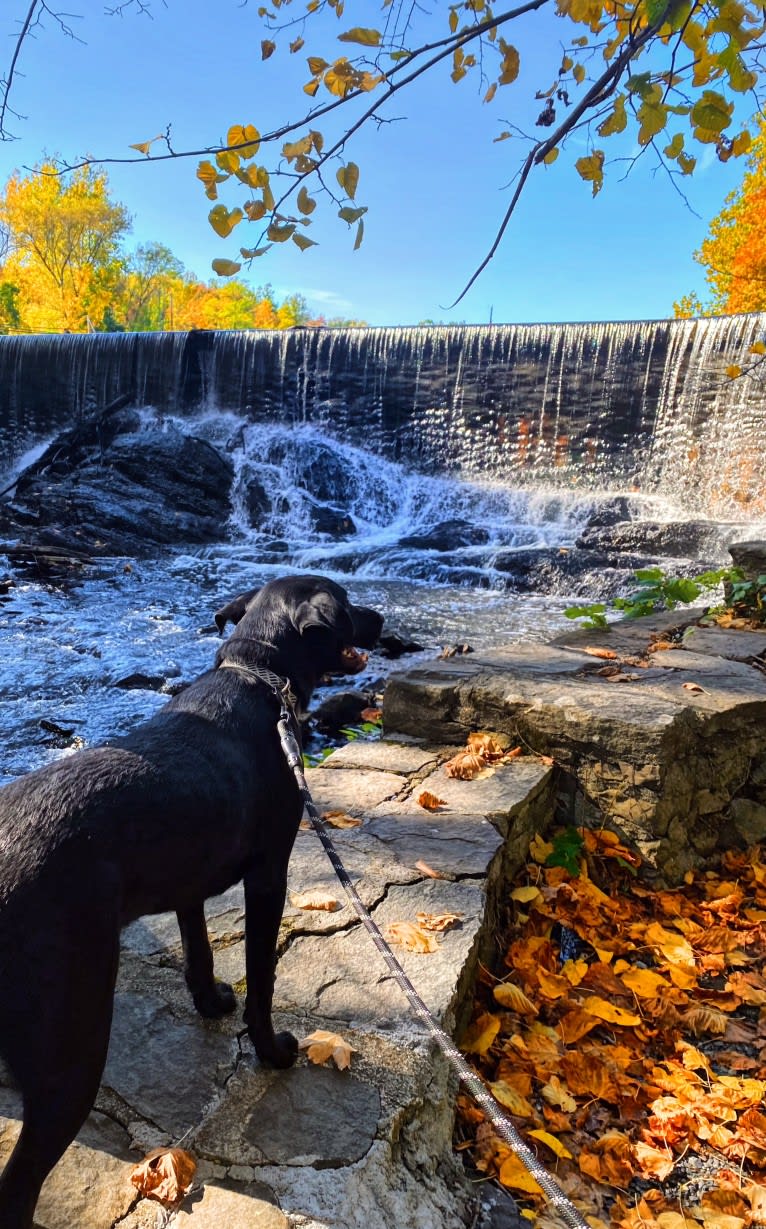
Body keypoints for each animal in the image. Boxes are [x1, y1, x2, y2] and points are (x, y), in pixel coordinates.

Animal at [0, 575, 383, 1229]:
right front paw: (272, 1051)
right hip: (69, 1055)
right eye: (348, 603)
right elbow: (262, 979)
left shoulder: (188, 883)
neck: (257, 674)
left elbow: (198, 950)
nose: (380, 618)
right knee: (17, 1189)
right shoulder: (269, 876)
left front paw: (209, 1003)